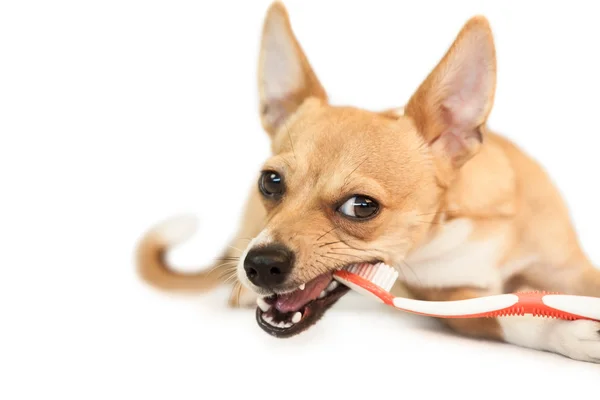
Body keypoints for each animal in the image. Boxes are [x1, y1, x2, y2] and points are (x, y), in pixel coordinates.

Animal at [136, 0, 600, 362]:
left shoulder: (572, 270)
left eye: (361, 206)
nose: (260, 264)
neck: (460, 227)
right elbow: (505, 312)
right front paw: (568, 331)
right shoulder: (444, 300)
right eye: (270, 182)